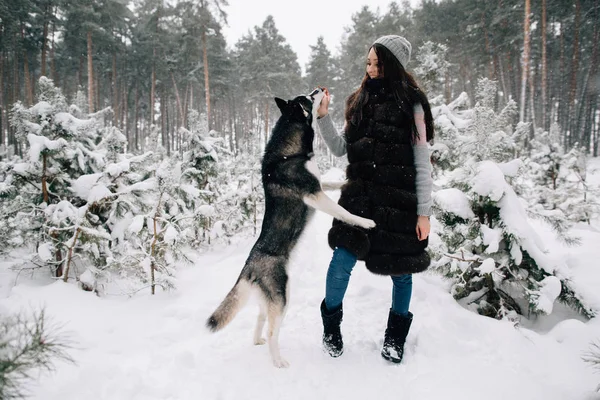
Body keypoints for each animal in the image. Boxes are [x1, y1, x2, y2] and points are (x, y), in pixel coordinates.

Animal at [207, 88, 376, 368]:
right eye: (308, 98)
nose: (317, 89)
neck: (290, 151)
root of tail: (249, 267)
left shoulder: (318, 185)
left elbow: (331, 183)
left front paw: (347, 182)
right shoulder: (314, 194)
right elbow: (342, 211)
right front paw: (364, 221)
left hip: (270, 300)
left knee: (260, 319)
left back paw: (257, 341)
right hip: (282, 297)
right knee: (272, 330)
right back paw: (278, 361)